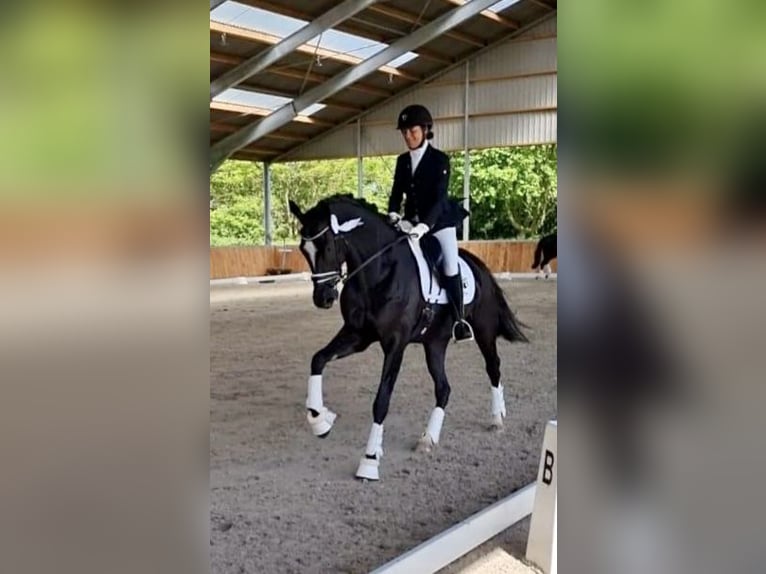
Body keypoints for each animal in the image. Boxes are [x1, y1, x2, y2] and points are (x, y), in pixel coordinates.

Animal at [288, 194, 528, 481]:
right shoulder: (357, 336)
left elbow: (382, 400)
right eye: (304, 249)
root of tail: (480, 266)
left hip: (484, 332)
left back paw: (497, 419)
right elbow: (318, 359)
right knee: (443, 388)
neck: (379, 272)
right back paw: (428, 439)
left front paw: (370, 460)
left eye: (326, 246)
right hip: (434, 344)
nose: (323, 298)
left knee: (493, 368)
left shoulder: (395, 344)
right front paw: (320, 420)